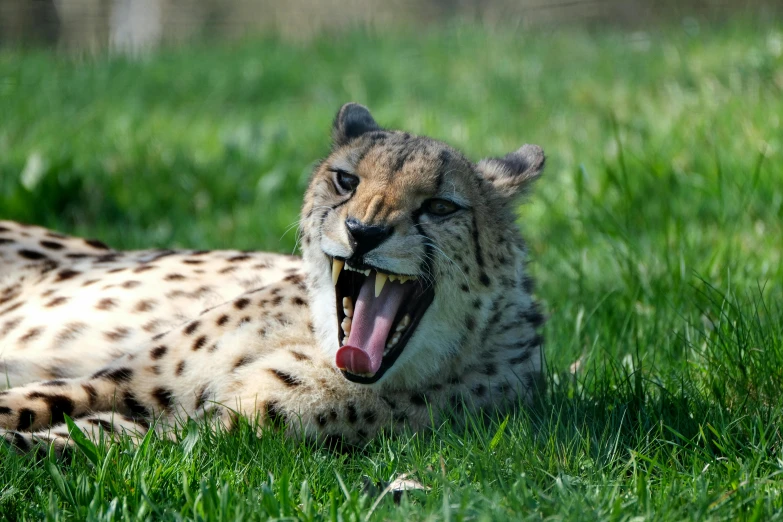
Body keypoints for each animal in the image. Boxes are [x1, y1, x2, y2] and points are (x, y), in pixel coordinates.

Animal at [0, 103, 548, 452]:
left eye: (439, 206)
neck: (316, 340)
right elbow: (30, 402)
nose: (363, 232)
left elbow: (74, 441)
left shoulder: (202, 430)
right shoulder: (124, 381)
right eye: (346, 181)